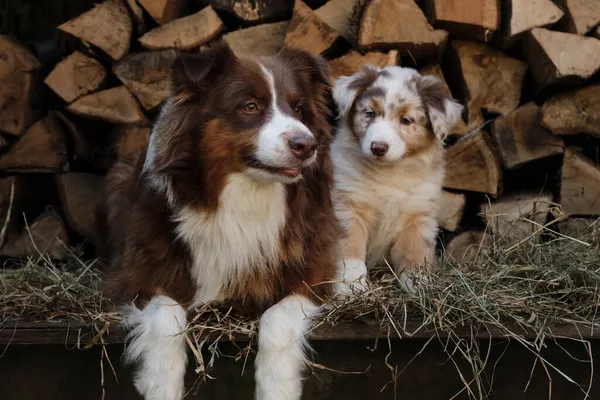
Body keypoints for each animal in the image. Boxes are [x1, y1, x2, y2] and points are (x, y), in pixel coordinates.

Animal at [102, 41, 338, 400]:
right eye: (250, 106)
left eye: (299, 109)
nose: (306, 145)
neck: (244, 195)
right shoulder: (136, 273)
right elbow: (166, 317)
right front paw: (161, 384)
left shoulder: (313, 272)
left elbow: (277, 318)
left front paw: (277, 386)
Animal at [328, 64, 464, 292]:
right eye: (370, 113)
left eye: (406, 120)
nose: (378, 147)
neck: (389, 173)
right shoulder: (348, 207)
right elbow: (351, 252)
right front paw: (351, 289)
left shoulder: (417, 215)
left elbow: (415, 256)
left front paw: (419, 286)